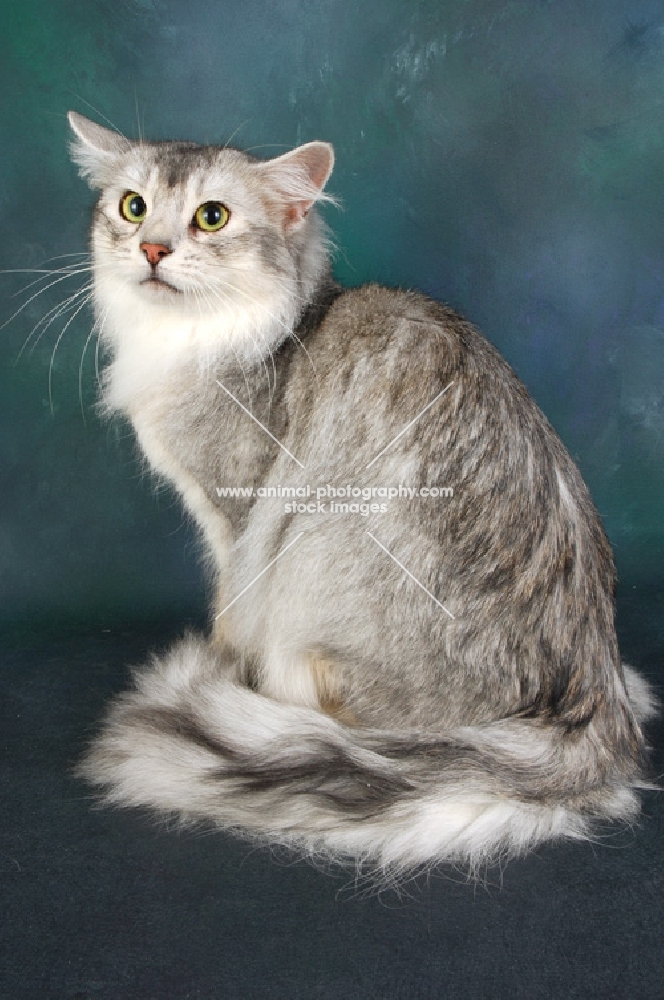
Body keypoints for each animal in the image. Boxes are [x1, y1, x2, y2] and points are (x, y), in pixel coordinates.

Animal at [65, 111, 656, 876]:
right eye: (133, 207)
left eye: (211, 216)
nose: (153, 250)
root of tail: (593, 704)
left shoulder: (237, 518)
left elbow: (228, 614)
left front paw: (221, 677)